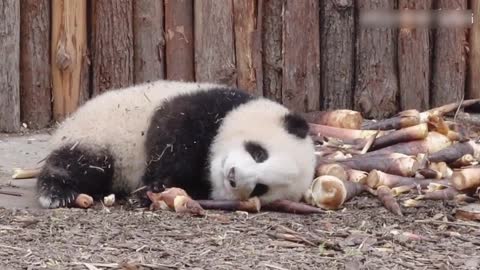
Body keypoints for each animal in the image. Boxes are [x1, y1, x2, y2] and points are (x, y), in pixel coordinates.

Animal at [35, 79, 316, 209]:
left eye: (260, 188)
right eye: (259, 153)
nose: (233, 176)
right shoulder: (207, 105)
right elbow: (172, 136)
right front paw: (156, 185)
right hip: (95, 133)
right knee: (83, 163)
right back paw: (56, 191)